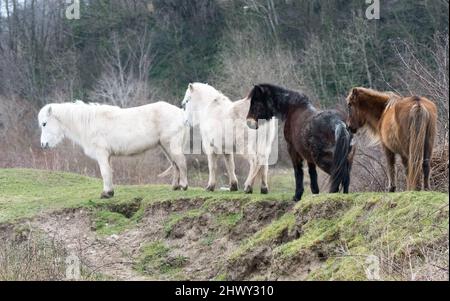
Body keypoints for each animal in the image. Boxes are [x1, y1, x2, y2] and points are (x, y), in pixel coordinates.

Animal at [36, 101, 188, 199]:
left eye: (44, 123)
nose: (43, 144)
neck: (89, 123)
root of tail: (181, 113)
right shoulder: (107, 156)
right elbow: (109, 172)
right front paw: (110, 192)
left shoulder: (102, 153)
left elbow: (104, 172)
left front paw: (106, 194)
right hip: (165, 146)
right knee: (175, 164)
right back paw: (175, 186)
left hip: (171, 144)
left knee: (181, 162)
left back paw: (184, 186)